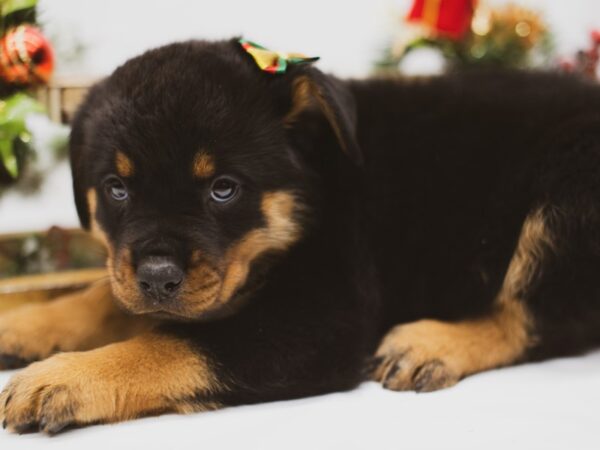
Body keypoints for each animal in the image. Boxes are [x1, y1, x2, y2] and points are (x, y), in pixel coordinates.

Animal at [0, 39, 600, 436]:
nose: (158, 279)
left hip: (567, 190)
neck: (312, 187)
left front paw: (62, 377)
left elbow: (174, 343)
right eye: (117, 188)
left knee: (539, 317)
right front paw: (25, 324)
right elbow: (105, 294)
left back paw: (429, 343)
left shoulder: (323, 321)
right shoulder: (136, 270)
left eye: (223, 188)